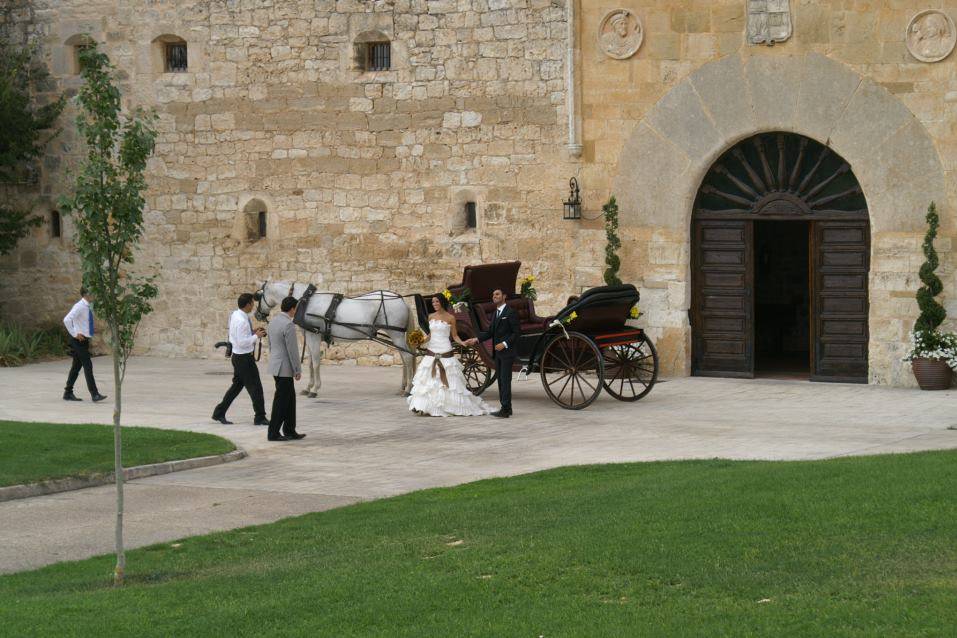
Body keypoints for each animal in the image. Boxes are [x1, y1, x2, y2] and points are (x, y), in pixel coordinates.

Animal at [254, 282, 414, 398]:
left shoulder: (313, 335)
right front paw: (308, 387)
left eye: (258, 296)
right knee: (405, 358)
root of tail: (403, 301)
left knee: (408, 357)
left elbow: (316, 362)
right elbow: (310, 362)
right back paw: (404, 387)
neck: (305, 301)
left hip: (396, 334)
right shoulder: (310, 336)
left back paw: (408, 389)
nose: (257, 315)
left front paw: (315, 389)